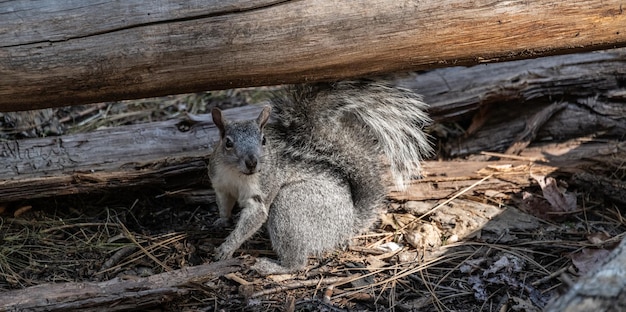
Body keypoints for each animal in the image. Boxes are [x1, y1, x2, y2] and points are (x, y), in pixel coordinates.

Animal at [207, 80, 432, 276]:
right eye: (228, 143)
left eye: (263, 140)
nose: (252, 162)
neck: (236, 174)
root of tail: (347, 223)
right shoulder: (220, 183)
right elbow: (224, 204)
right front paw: (221, 221)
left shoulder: (262, 189)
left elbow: (254, 217)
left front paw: (226, 248)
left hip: (291, 205)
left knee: (296, 261)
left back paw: (273, 267)